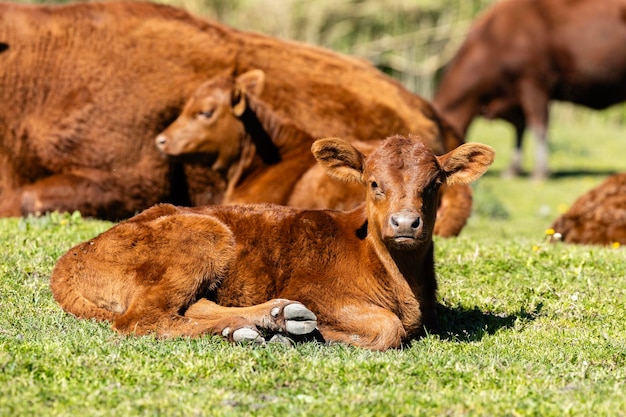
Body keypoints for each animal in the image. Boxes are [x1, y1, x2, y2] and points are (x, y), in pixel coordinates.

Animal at [50, 135, 492, 350]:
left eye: (433, 185)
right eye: (373, 183)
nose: (405, 222)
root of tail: (74, 254)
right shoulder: (316, 290)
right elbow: (388, 327)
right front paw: (321, 335)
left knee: (193, 307)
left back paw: (266, 321)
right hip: (203, 234)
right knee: (143, 319)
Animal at [432, 0, 624, 178]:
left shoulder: (533, 83)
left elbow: (539, 126)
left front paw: (540, 172)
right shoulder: (515, 97)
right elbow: (520, 128)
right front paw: (513, 170)